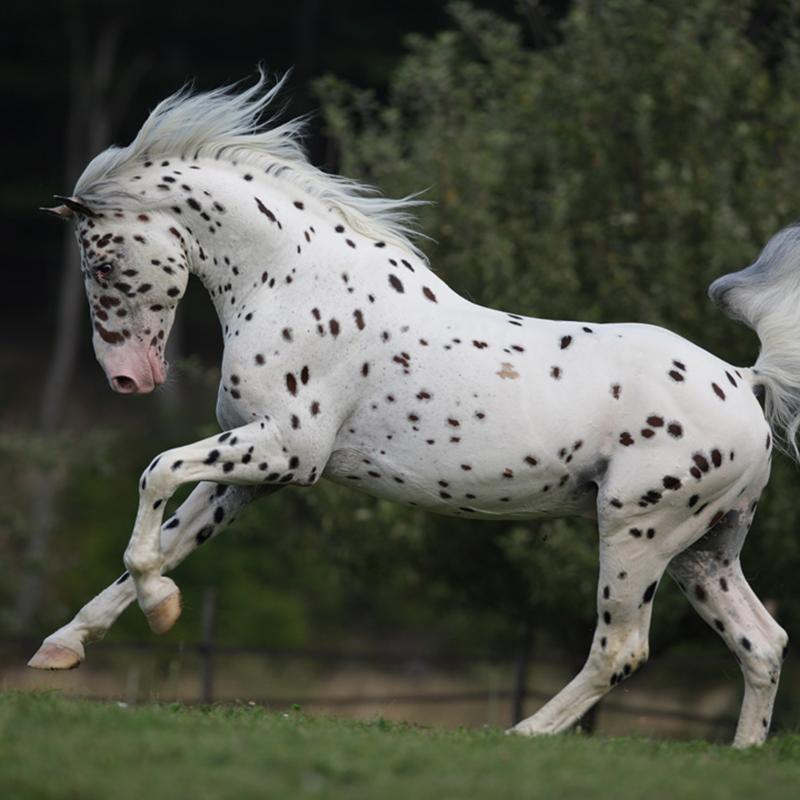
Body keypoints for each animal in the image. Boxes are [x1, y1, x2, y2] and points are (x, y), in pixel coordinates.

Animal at [30, 72, 794, 747]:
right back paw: (741, 752)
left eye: (101, 264)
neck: (296, 282)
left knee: (622, 649)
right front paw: (65, 646)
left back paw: (523, 735)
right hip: (703, 550)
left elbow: (156, 474)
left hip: (638, 530)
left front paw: (158, 610)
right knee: (762, 642)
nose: (127, 379)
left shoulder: (287, 452)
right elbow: (170, 543)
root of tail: (742, 380)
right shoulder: (250, 472)